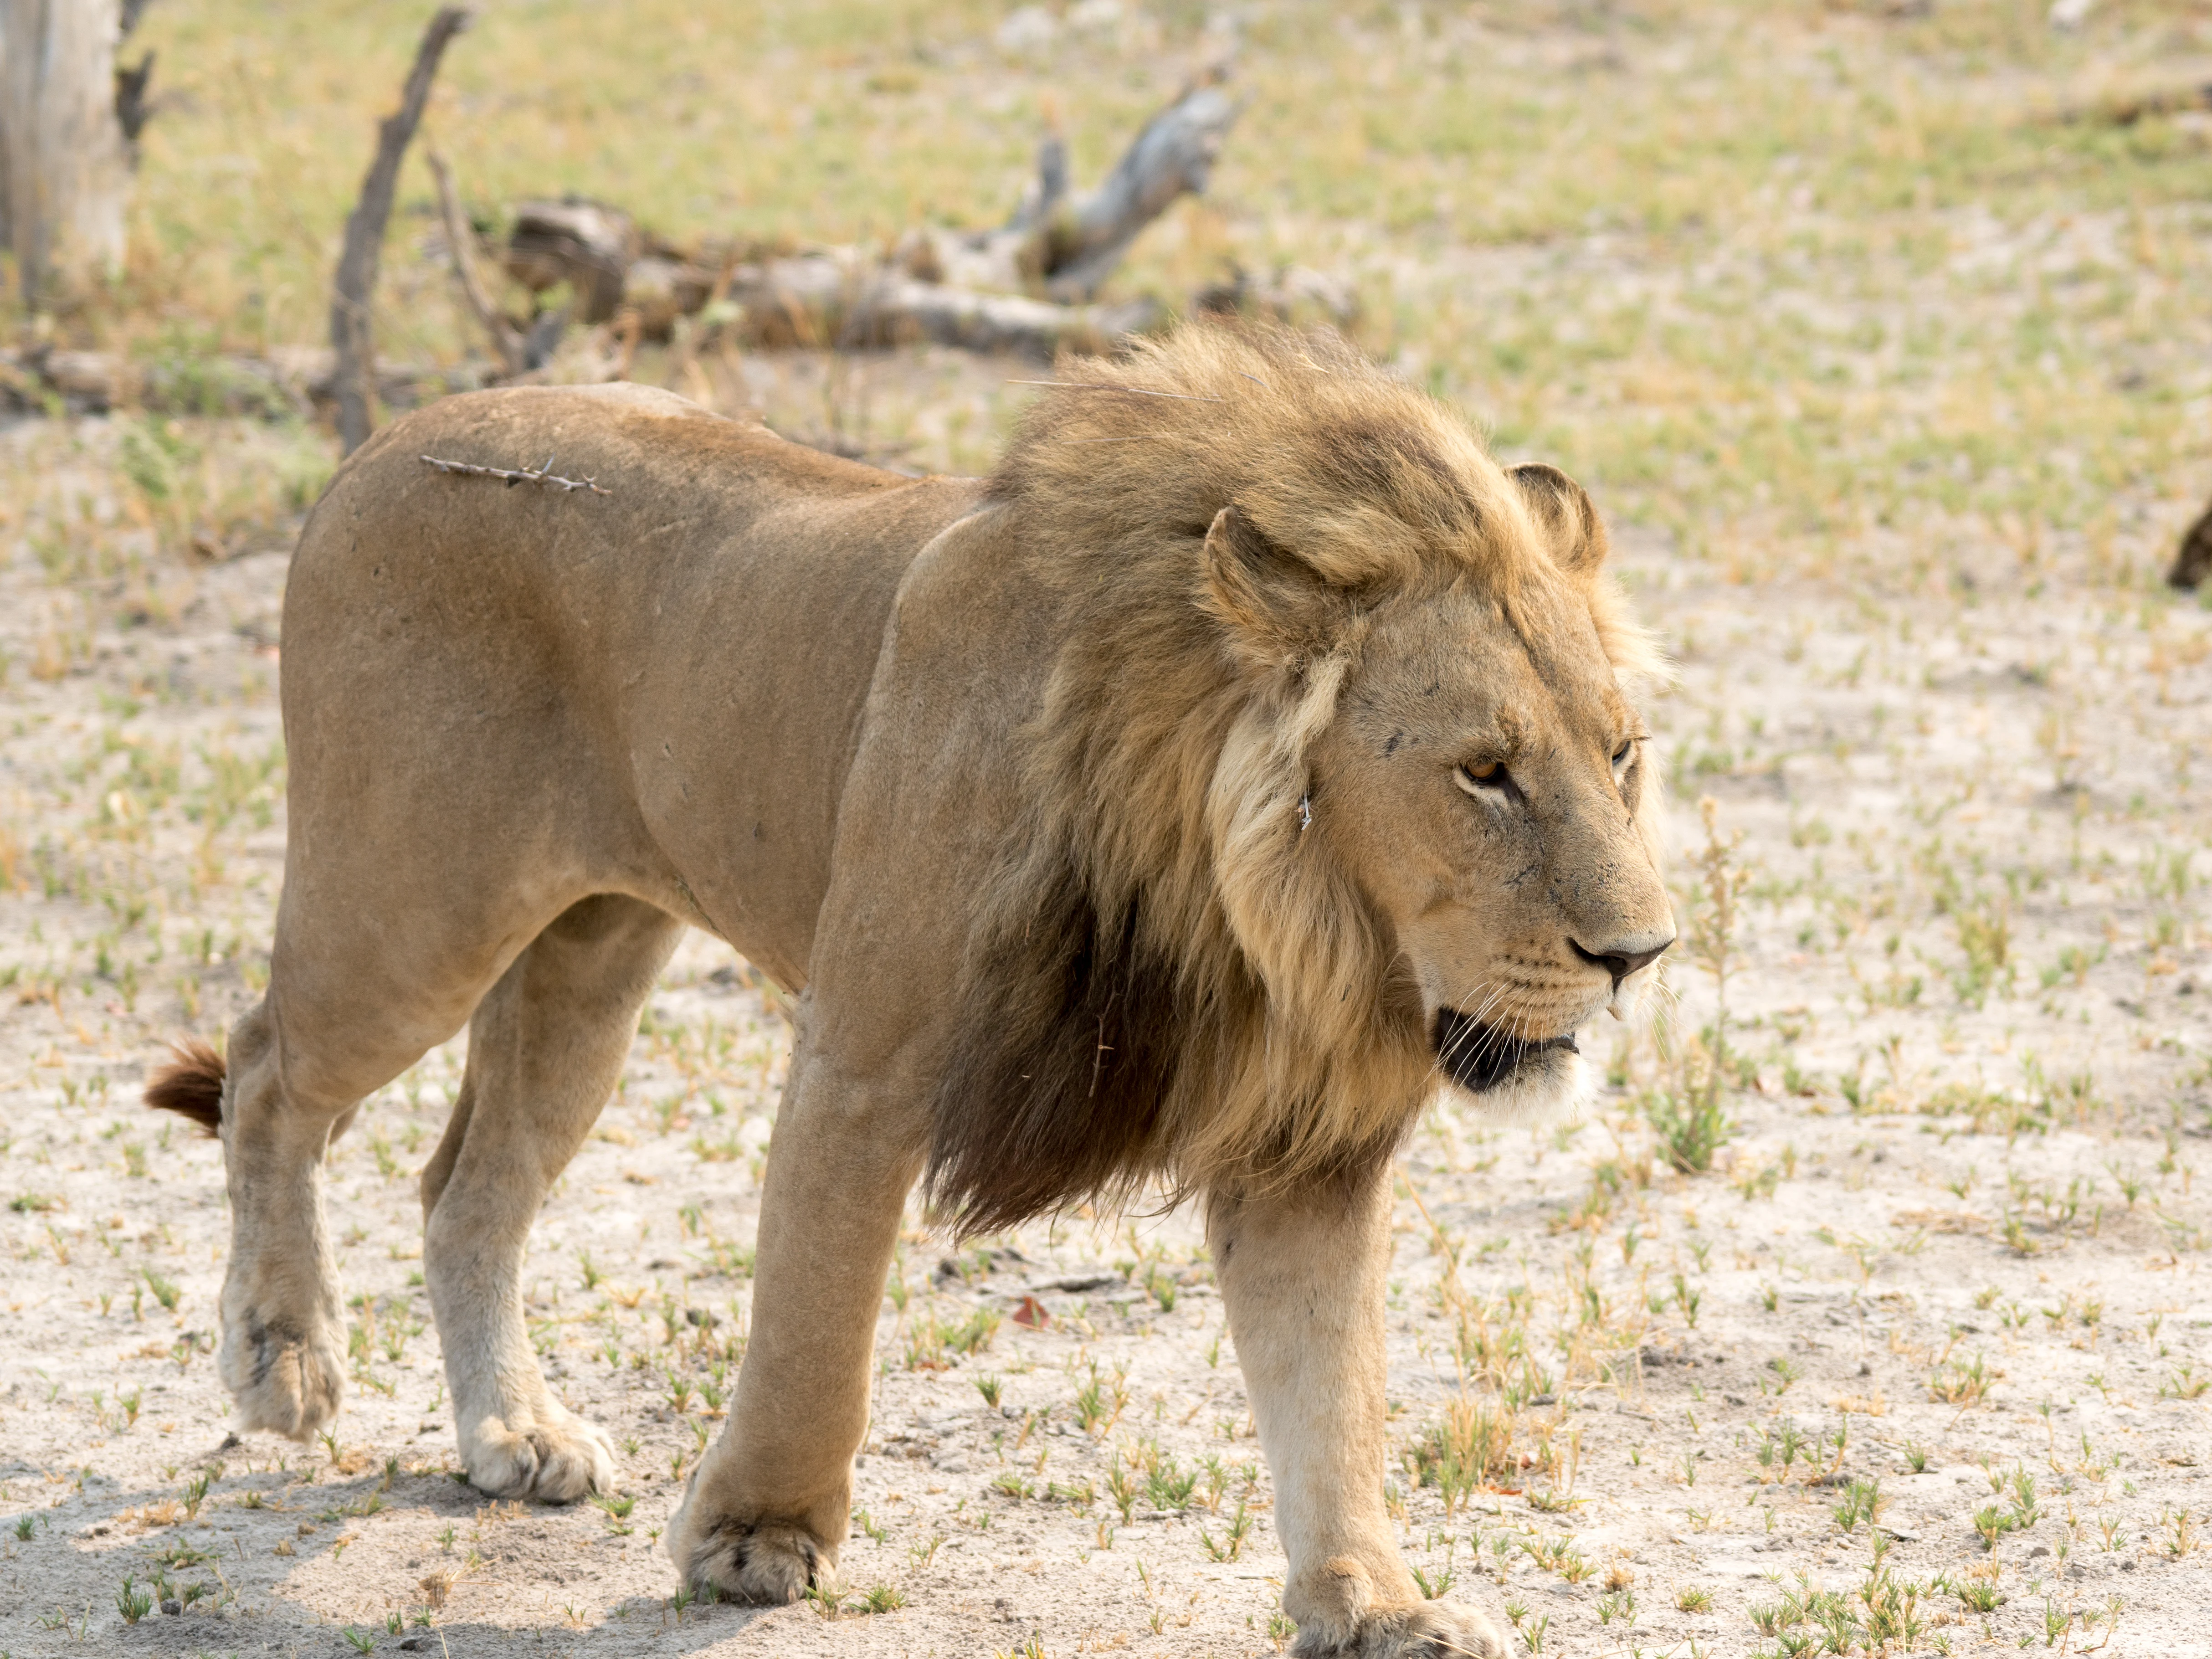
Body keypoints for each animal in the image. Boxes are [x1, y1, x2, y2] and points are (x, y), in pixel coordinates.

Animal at [146, 324, 1672, 1658]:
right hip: (416, 910)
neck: (1243, 899)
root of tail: (377, 444)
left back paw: (511, 1436)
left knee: (468, 1184)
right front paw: (756, 1538)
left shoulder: (1305, 1153)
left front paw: (1375, 1605)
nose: (1638, 955)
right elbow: (816, 1311)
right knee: (269, 1067)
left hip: (587, 955)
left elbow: (1330, 1391)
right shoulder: (864, 1057)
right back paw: (282, 1361)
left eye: (1620, 754)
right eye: (1483, 771)